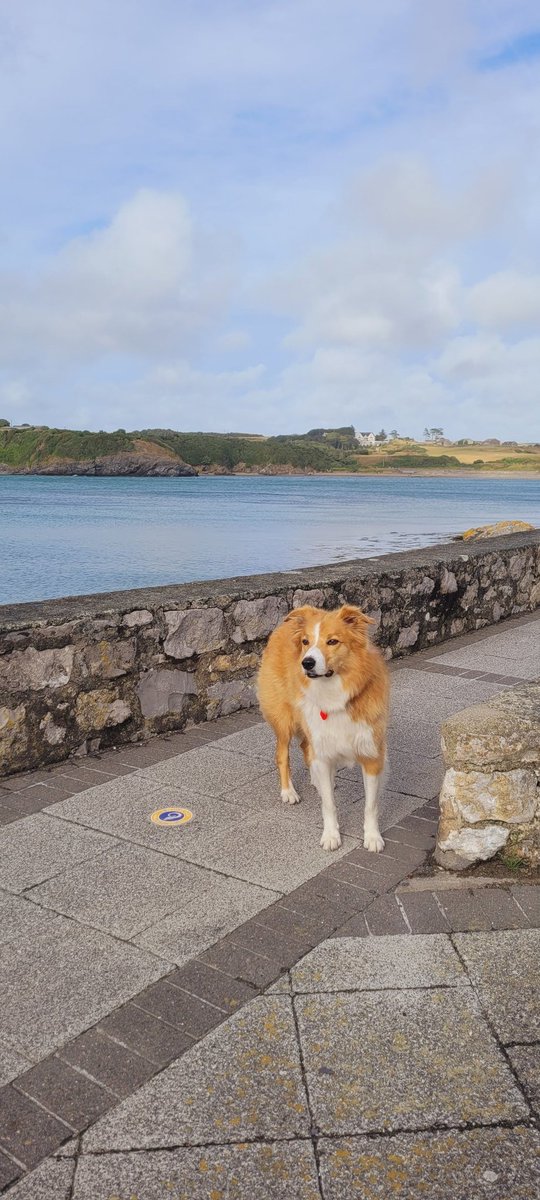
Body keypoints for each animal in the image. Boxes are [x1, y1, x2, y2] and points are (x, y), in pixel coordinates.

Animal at [256, 609, 388, 854]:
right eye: (306, 642)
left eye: (332, 641)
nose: (306, 663)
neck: (335, 693)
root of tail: (283, 625)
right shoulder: (323, 752)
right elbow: (329, 804)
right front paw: (331, 836)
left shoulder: (372, 753)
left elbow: (371, 805)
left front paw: (373, 837)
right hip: (285, 720)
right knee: (282, 754)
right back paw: (289, 792)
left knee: (305, 747)